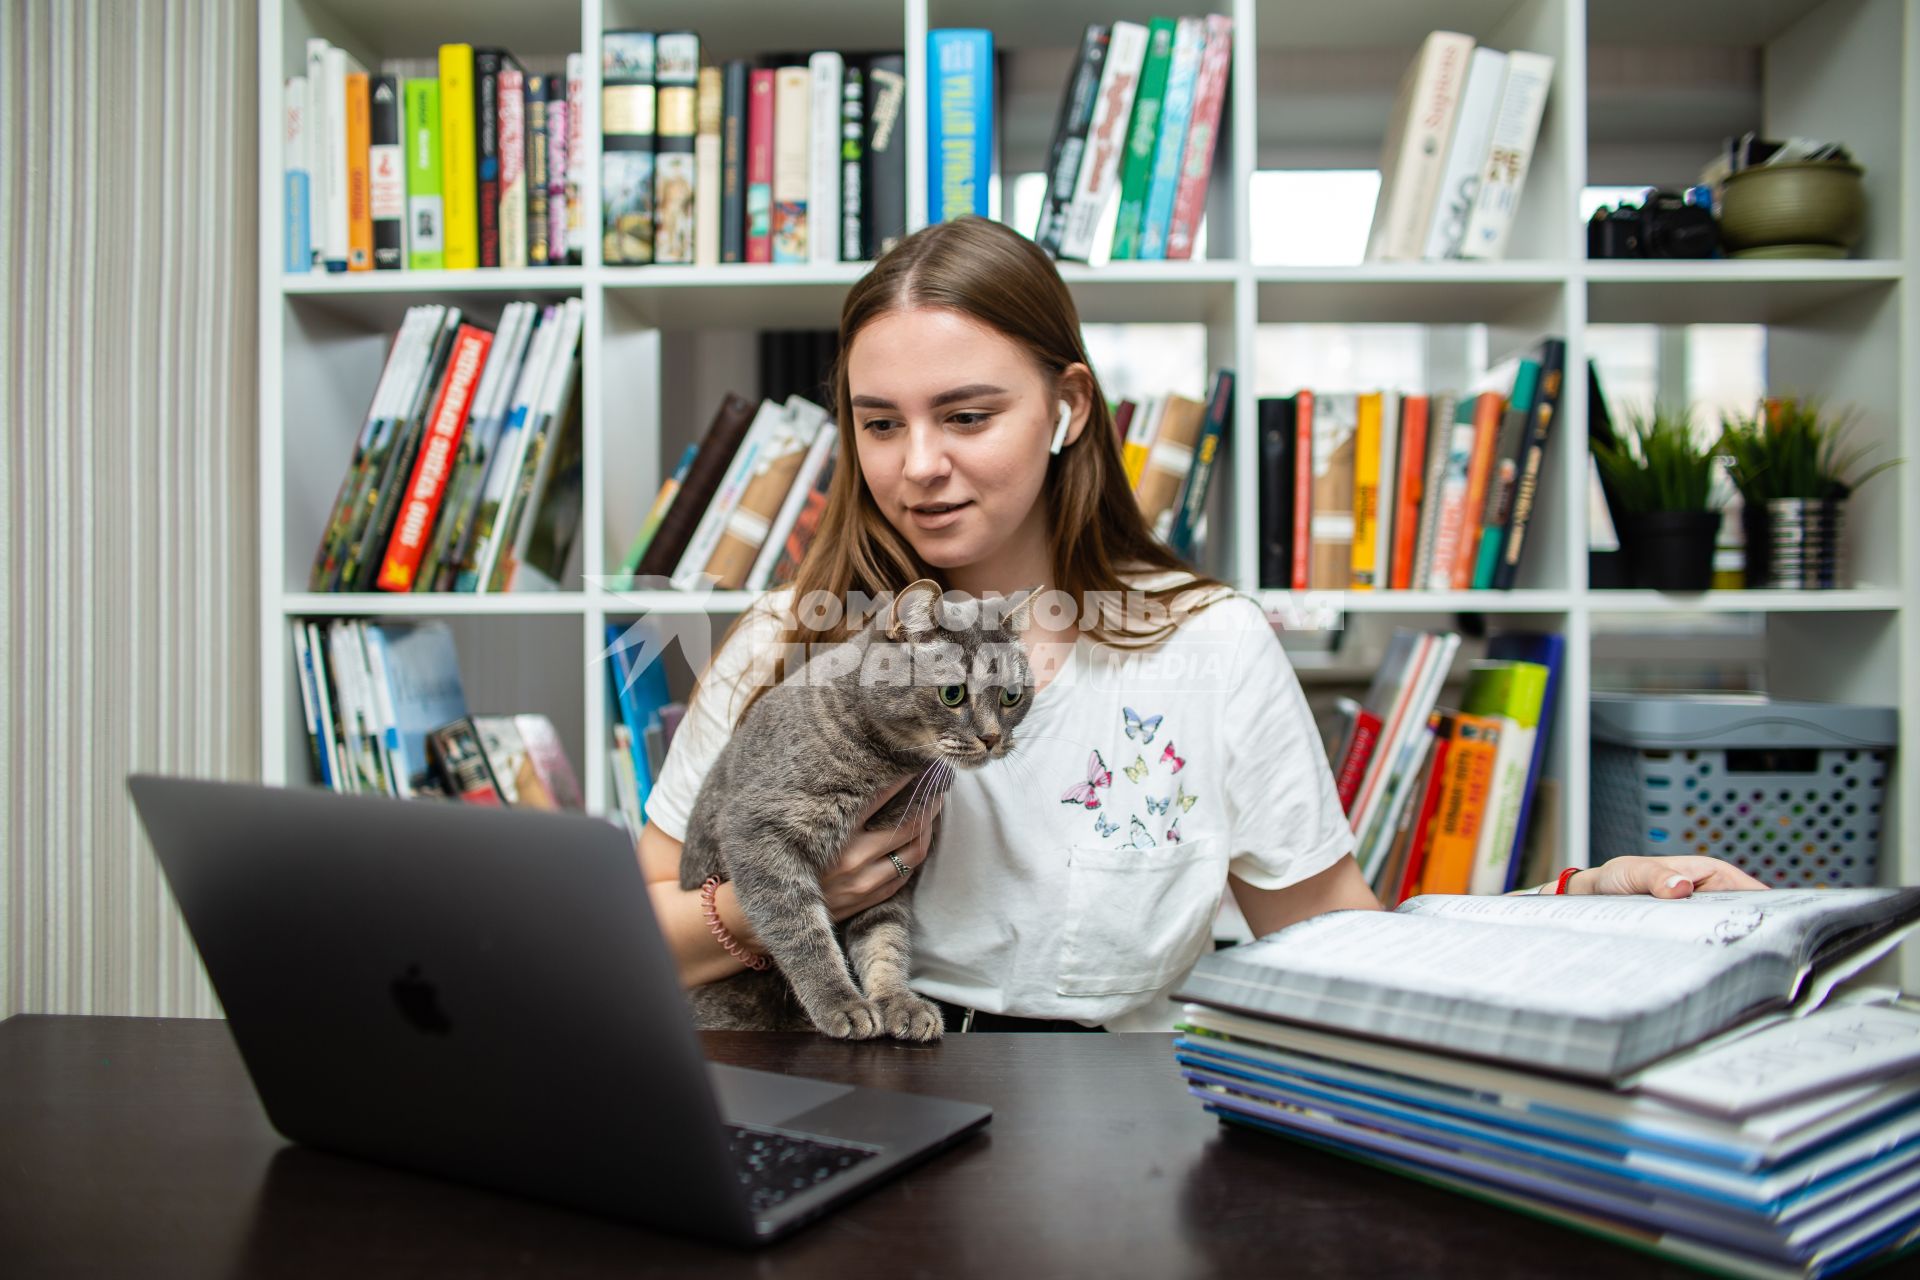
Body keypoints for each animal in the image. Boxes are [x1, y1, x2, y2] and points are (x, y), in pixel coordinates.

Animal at [675, 579, 1036, 1043]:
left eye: (1012, 696)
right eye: (952, 694)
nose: (993, 738)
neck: (890, 766)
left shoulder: (891, 878)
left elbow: (884, 941)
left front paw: (897, 1002)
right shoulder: (757, 834)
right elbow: (803, 933)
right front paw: (840, 1003)